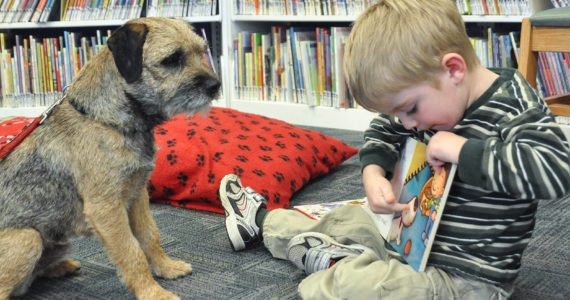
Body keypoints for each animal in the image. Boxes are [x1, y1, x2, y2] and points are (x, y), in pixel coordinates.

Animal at [0, 17, 220, 298]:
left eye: (202, 51)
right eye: (172, 59)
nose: (215, 86)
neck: (106, 119)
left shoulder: (138, 195)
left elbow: (150, 235)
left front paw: (166, 267)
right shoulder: (106, 209)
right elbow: (131, 252)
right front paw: (152, 292)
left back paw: (60, 267)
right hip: (27, 238)